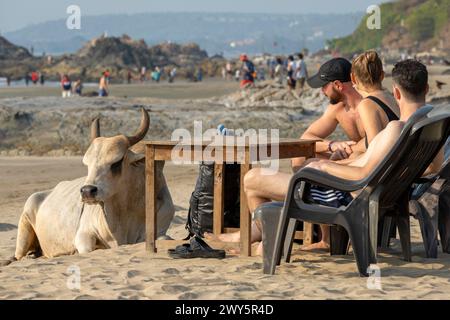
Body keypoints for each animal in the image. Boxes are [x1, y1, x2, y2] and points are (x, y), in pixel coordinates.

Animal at [1, 108, 174, 264]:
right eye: (87, 164)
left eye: (116, 163)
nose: (87, 191)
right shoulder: (83, 235)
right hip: (24, 225)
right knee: (17, 256)